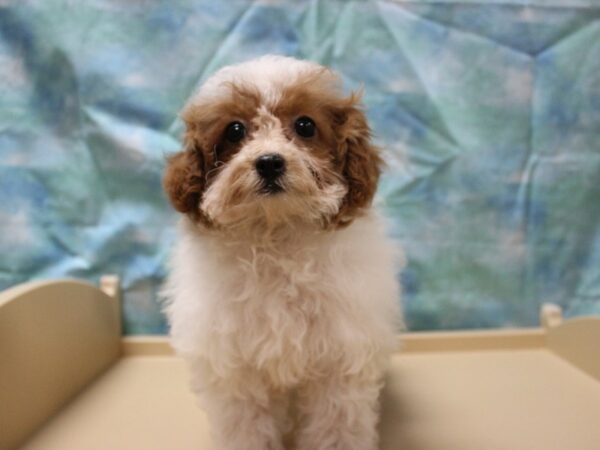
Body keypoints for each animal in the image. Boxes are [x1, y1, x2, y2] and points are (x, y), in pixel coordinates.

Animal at [163, 54, 404, 448]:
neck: (276, 234)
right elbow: (246, 427)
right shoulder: (237, 369)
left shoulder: (339, 359)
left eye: (305, 125)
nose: (269, 162)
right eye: (234, 131)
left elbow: (336, 426)